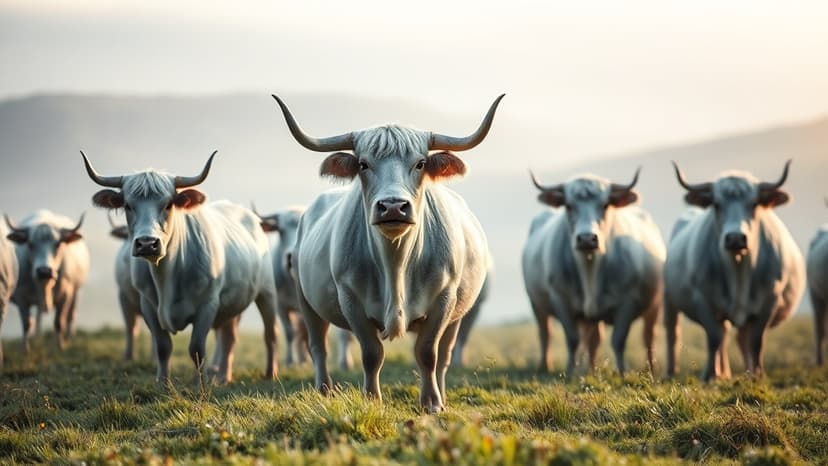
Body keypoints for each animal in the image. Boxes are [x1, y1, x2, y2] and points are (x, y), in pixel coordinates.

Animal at [6, 210, 89, 352]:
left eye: (58, 244)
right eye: (30, 244)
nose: (44, 271)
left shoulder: (66, 295)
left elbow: (59, 322)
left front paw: (60, 346)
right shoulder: (22, 297)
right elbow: (27, 323)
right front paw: (25, 350)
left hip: (76, 293)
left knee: (71, 315)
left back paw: (70, 337)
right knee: (38, 317)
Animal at [82, 152, 279, 383]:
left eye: (168, 204)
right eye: (128, 205)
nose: (147, 243)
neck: (167, 275)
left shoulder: (208, 305)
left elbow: (197, 349)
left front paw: (201, 384)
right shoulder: (148, 305)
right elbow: (162, 347)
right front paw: (163, 383)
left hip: (267, 292)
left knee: (270, 334)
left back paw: (270, 373)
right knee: (229, 338)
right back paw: (224, 377)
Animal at [272, 94, 503, 412]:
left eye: (420, 163)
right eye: (363, 164)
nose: (393, 206)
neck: (396, 263)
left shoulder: (444, 300)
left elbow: (428, 354)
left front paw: (432, 403)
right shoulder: (350, 300)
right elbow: (372, 354)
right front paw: (372, 399)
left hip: (458, 314)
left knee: (445, 356)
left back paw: (442, 394)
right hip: (306, 300)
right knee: (318, 346)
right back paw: (323, 390)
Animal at [522, 170, 665, 375]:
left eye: (605, 205)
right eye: (568, 205)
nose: (587, 239)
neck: (590, 268)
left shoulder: (627, 302)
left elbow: (618, 340)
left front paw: (623, 373)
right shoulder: (561, 300)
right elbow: (572, 340)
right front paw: (570, 373)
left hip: (654, 305)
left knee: (648, 336)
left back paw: (650, 368)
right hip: (538, 305)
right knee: (547, 334)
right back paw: (550, 366)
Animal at [664, 161, 805, 381]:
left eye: (754, 204)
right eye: (716, 204)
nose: (735, 238)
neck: (738, 269)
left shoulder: (769, 301)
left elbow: (756, 341)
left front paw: (758, 375)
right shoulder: (704, 299)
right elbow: (714, 338)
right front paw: (710, 375)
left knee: (740, 339)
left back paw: (742, 372)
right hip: (671, 302)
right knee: (679, 333)